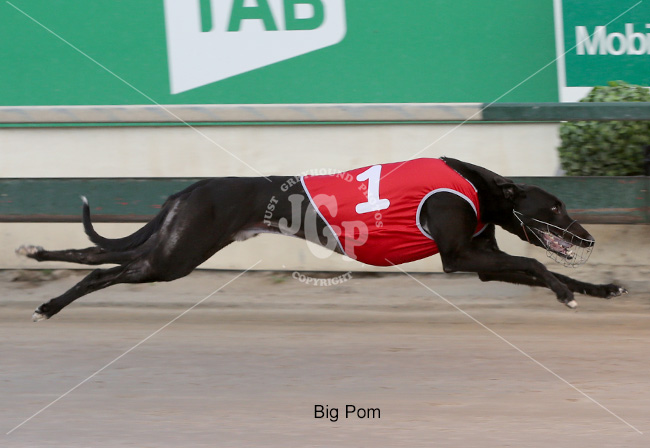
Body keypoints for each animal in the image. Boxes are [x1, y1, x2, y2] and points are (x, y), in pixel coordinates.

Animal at [17, 157, 627, 321]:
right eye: (557, 205)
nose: (589, 237)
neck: (477, 184)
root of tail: (191, 188)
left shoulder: (481, 258)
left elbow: (550, 268)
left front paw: (600, 288)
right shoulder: (462, 257)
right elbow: (541, 268)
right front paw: (565, 293)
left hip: (170, 244)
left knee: (93, 252)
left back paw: (39, 260)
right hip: (176, 255)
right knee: (104, 268)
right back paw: (49, 304)